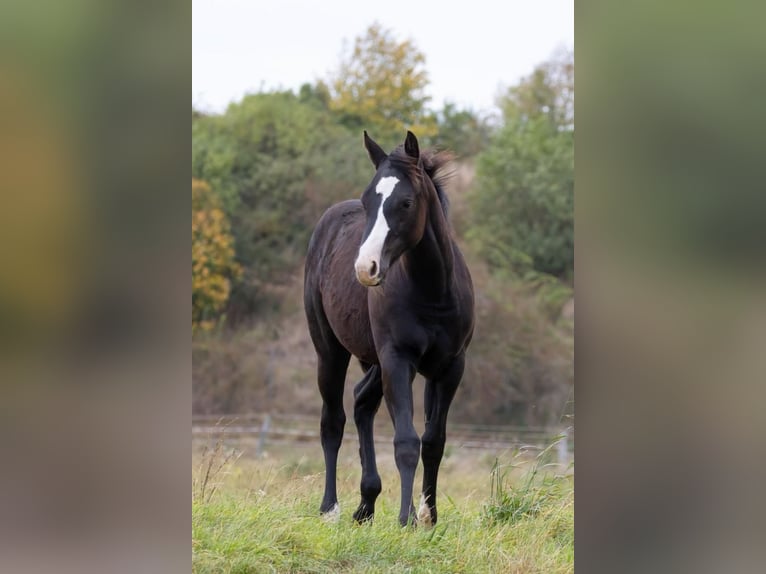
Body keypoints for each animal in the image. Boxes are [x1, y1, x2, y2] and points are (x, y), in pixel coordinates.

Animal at [304, 130, 474, 528]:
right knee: (333, 421)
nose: (366, 267)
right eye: (369, 200)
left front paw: (428, 516)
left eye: (406, 202)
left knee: (362, 403)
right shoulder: (398, 360)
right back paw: (330, 509)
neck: (433, 292)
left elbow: (434, 440)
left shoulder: (450, 367)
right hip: (330, 351)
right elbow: (406, 441)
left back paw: (366, 504)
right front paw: (405, 519)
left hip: (375, 362)